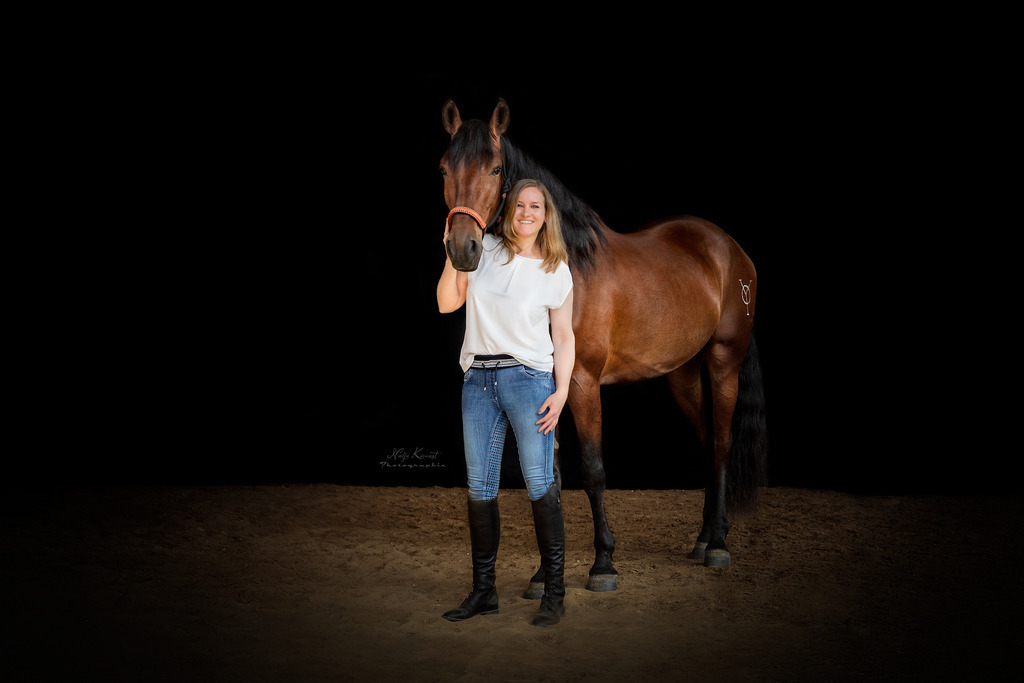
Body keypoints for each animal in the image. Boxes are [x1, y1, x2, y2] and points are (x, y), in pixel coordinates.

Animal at [439, 98, 767, 594]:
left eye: (495, 168)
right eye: (444, 168)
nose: (463, 249)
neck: (570, 266)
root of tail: (729, 248)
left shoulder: (581, 382)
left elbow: (593, 471)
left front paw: (603, 564)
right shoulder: (547, 389)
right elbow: (549, 477)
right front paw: (543, 575)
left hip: (724, 358)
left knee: (723, 442)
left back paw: (718, 545)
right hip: (682, 374)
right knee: (708, 440)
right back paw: (705, 536)